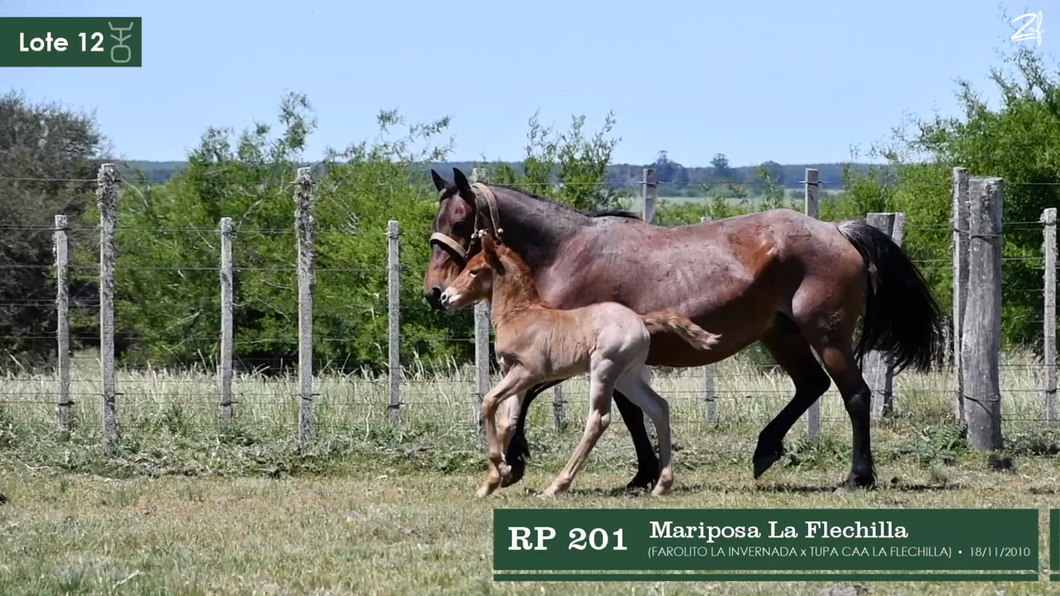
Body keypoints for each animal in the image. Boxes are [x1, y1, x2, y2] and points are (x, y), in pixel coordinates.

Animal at [438, 232, 720, 496]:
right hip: (627, 377)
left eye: (474, 270)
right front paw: (492, 483)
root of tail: (641, 319)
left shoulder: (528, 372)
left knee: (598, 419)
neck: (520, 314)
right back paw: (662, 484)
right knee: (659, 407)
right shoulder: (512, 372)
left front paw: (503, 470)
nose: (444, 297)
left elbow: (488, 403)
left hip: (604, 369)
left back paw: (556, 486)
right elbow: (508, 421)